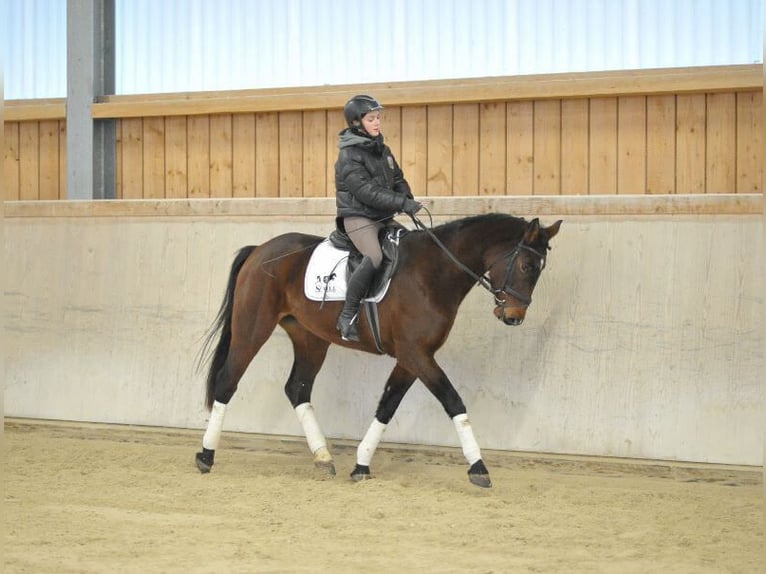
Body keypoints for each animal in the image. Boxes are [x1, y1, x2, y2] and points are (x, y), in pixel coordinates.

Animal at [195, 214, 560, 488]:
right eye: (526, 266)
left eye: (541, 268)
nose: (513, 316)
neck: (434, 272)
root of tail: (259, 249)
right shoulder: (417, 354)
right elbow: (453, 401)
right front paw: (479, 467)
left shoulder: (411, 358)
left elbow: (387, 405)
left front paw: (361, 465)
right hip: (252, 329)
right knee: (227, 381)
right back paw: (206, 456)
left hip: (310, 339)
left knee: (297, 388)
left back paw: (323, 458)